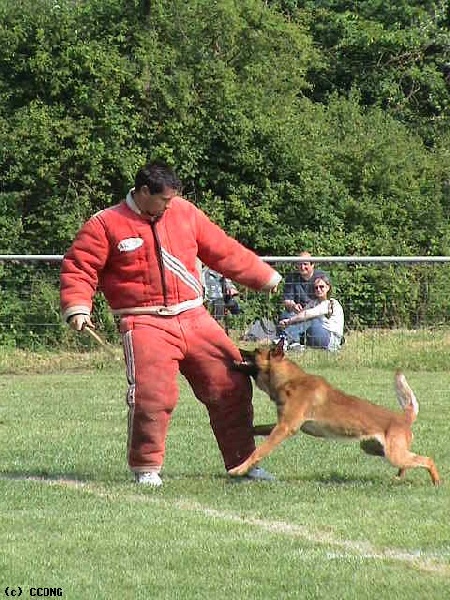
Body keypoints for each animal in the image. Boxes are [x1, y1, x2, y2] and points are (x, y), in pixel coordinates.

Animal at [229, 340, 440, 486]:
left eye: (256, 351)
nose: (237, 349)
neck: (289, 381)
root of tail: (403, 418)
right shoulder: (281, 424)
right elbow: (257, 428)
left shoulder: (285, 428)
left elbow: (259, 451)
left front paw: (238, 469)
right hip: (373, 448)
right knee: (409, 462)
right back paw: (399, 478)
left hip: (393, 454)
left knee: (426, 459)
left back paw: (436, 482)